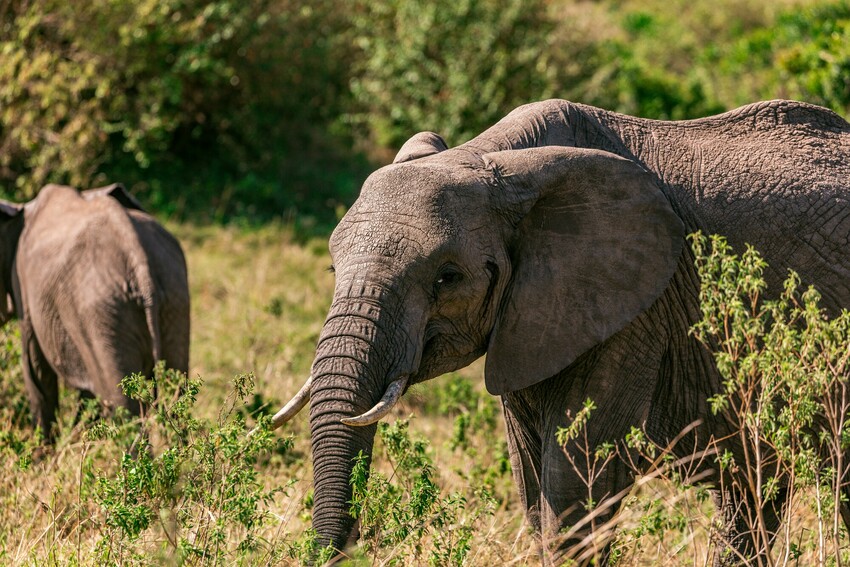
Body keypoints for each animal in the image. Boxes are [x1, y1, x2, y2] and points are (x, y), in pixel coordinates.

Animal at [0, 184, 187, 442]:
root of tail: (138, 258)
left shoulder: (25, 292)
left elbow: (36, 371)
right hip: (172, 294)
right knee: (176, 392)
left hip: (102, 311)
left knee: (123, 408)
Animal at [266, 100, 848, 564]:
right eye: (333, 268)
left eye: (446, 277)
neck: (498, 161)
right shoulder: (531, 316)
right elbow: (530, 479)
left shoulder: (633, 308)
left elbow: (571, 476)